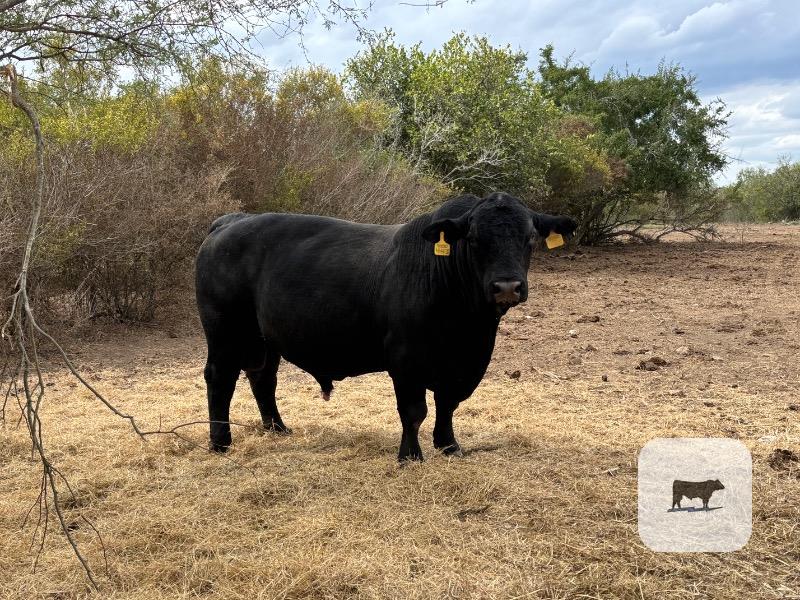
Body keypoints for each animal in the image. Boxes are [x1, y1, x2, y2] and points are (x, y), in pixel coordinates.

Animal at [195, 192, 577, 461]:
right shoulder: (406, 359)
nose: (507, 286)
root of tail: (231, 221)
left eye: (530, 238)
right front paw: (411, 456)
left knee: (263, 378)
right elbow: (414, 410)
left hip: (264, 338)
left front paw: (449, 445)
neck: (468, 328)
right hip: (224, 331)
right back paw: (221, 442)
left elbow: (448, 404)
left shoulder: (462, 365)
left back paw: (277, 429)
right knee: (220, 378)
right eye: (473, 239)